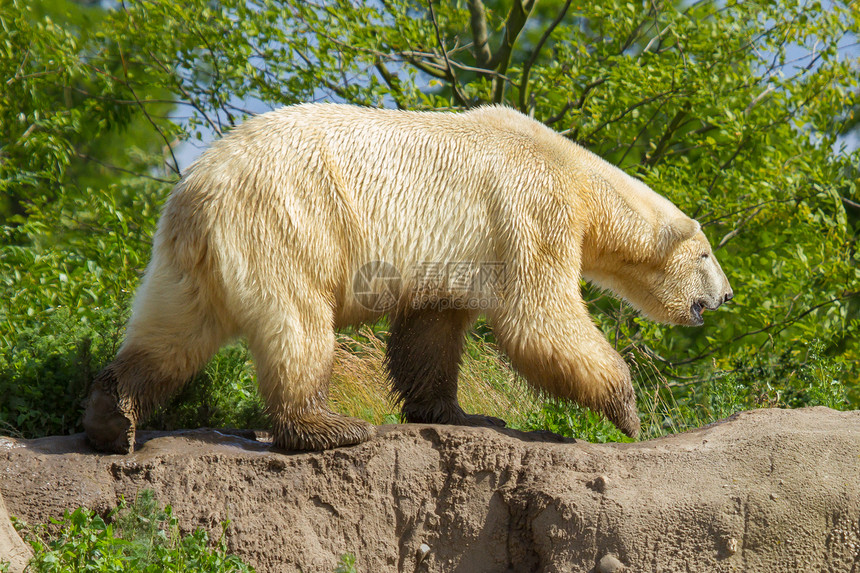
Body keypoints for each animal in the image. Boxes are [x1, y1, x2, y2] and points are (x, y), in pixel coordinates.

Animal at [84, 103, 732, 452]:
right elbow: (540, 318)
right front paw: (629, 410)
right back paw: (331, 427)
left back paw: (112, 417)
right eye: (705, 255)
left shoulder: (456, 254)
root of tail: (200, 190)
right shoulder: (530, 210)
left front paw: (462, 415)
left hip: (188, 259)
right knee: (299, 325)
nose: (725, 295)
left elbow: (432, 330)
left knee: (170, 332)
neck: (575, 173)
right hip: (286, 224)